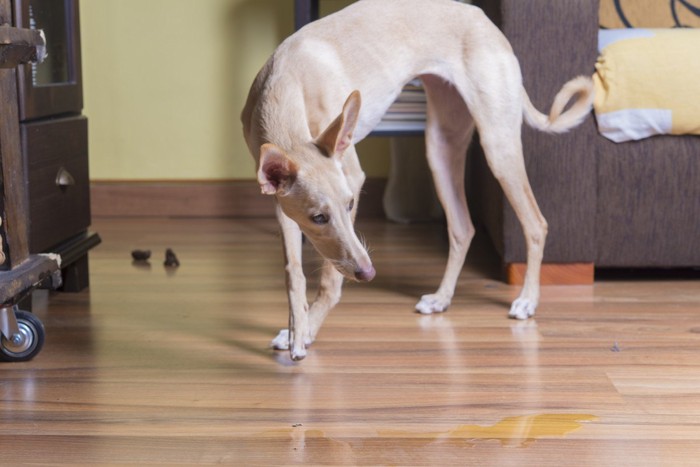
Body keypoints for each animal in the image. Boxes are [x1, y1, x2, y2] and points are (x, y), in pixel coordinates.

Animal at [243, 0, 592, 362]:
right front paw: (295, 331)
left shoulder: (352, 177)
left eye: (351, 204)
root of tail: (484, 19)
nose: (368, 273)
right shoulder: (282, 205)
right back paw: (442, 298)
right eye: (318, 217)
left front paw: (308, 331)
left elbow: (330, 279)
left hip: (498, 146)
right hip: (440, 150)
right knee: (463, 228)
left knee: (536, 223)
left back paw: (527, 300)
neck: (285, 84)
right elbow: (293, 272)